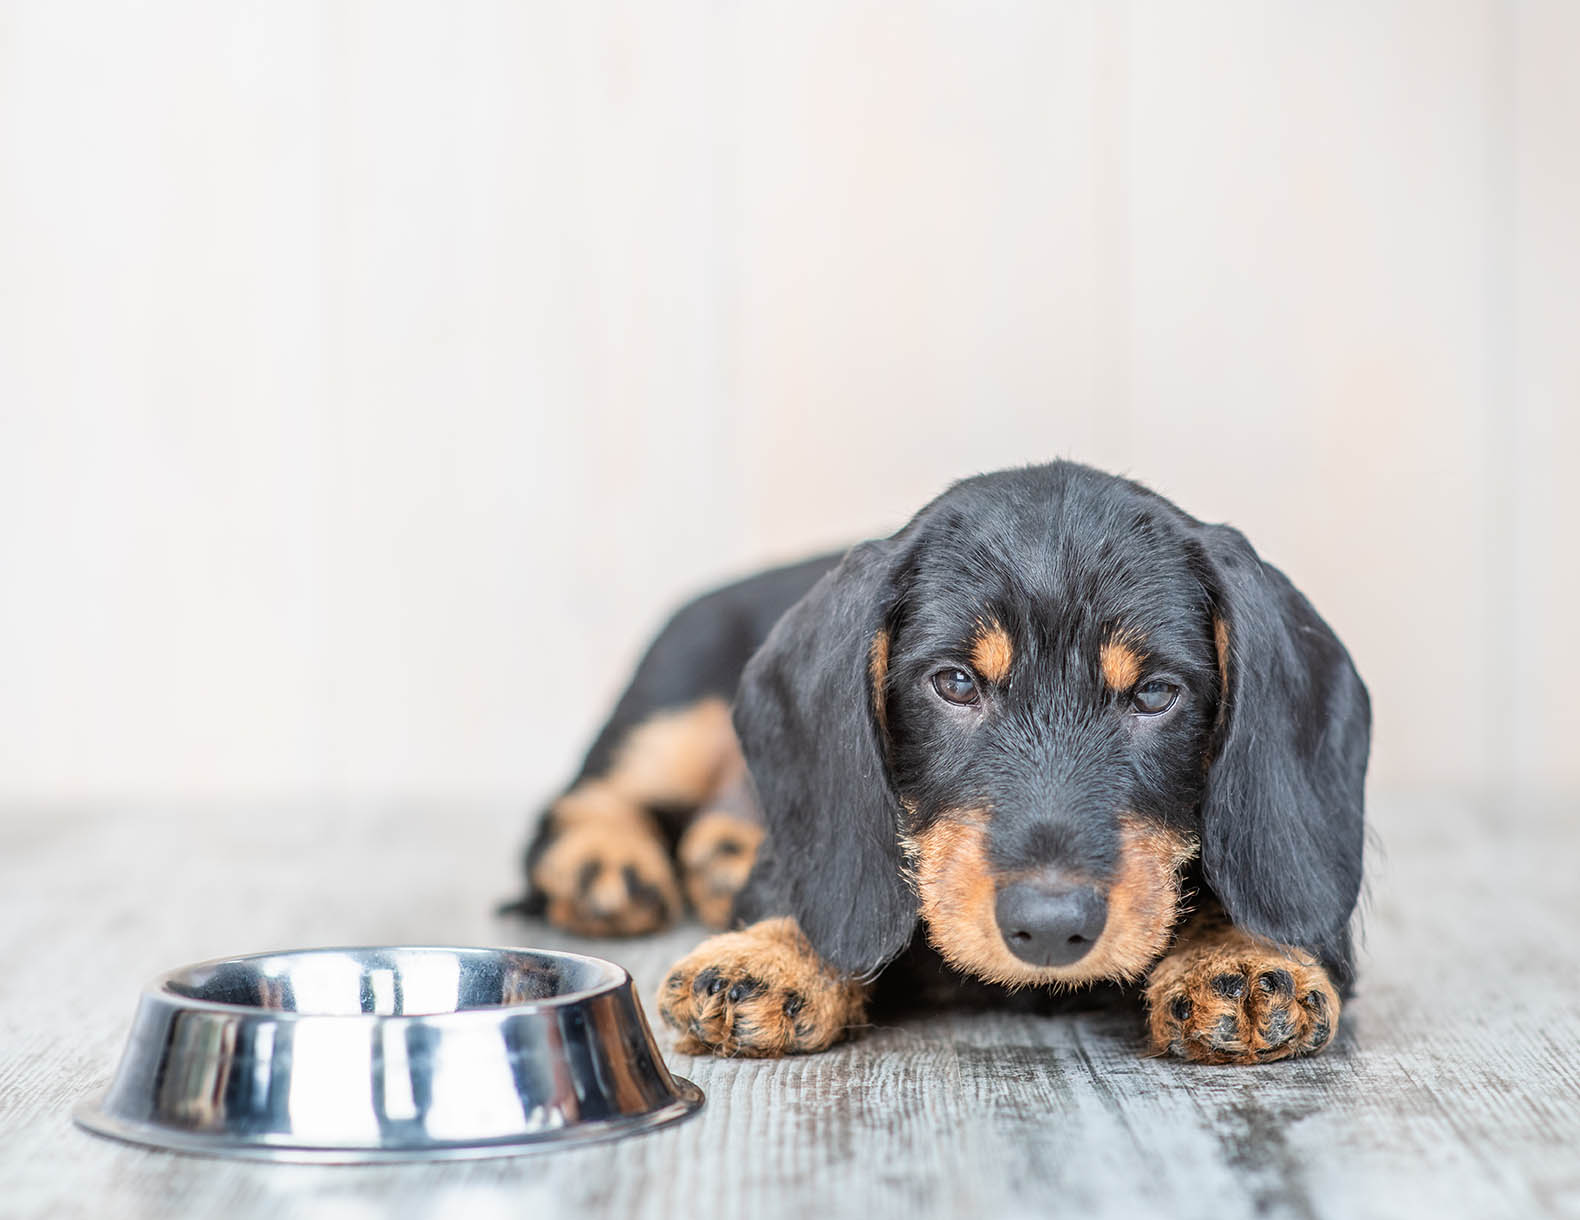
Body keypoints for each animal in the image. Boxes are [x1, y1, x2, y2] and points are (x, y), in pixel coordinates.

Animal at [508, 461, 1371, 1061]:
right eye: (955, 683)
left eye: (1157, 693)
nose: (1049, 928)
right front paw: (771, 951)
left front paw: (1246, 956)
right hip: (671, 710)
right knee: (575, 804)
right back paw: (605, 866)